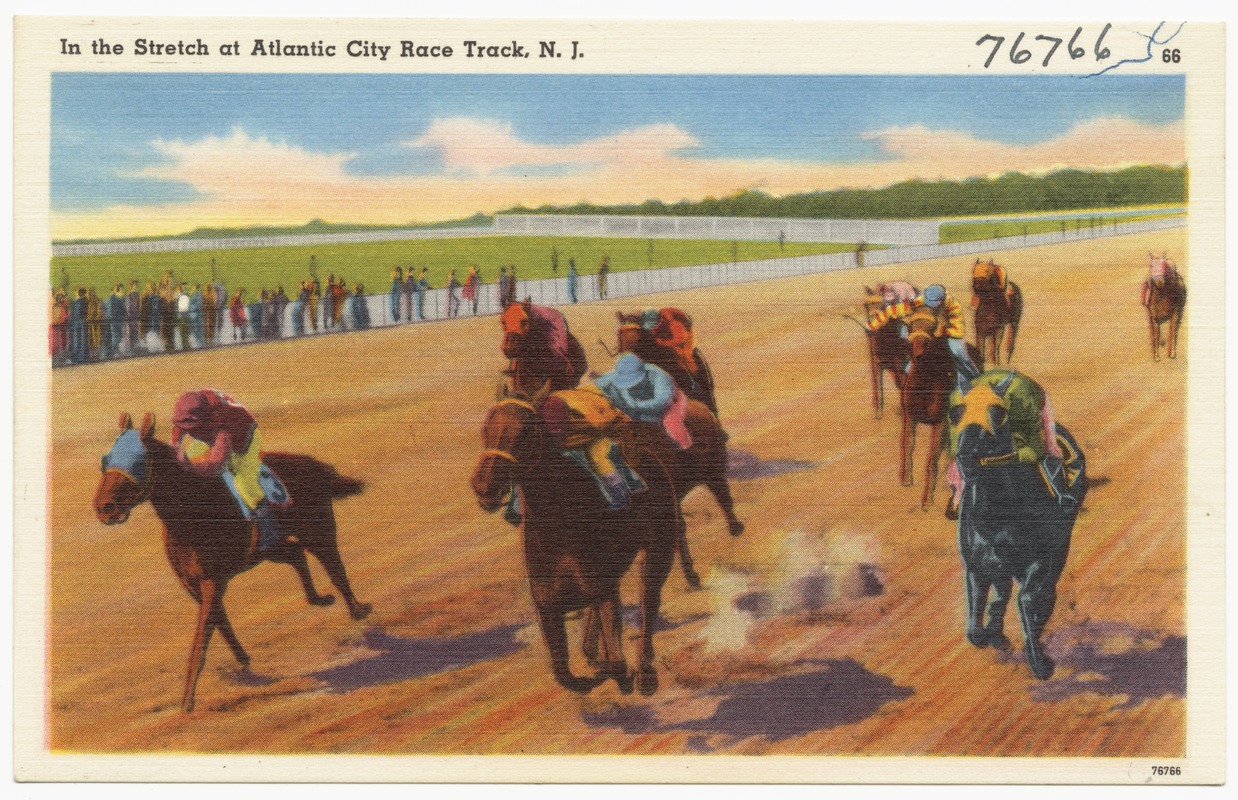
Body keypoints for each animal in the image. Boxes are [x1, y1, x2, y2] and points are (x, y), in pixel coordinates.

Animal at [94, 413, 368, 713]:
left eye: (137, 462)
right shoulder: (194, 585)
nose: (103, 508)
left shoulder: (212, 582)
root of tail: (313, 463)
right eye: (106, 460)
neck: (192, 515)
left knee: (335, 568)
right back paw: (320, 599)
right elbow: (219, 623)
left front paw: (187, 699)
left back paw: (357, 609)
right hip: (270, 547)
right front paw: (242, 662)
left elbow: (202, 637)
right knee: (296, 554)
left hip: (318, 532)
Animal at [861, 283, 921, 421]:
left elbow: (901, 382)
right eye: (866, 305)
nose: (870, 328)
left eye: (881, 304)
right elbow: (877, 384)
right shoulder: (877, 361)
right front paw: (878, 412)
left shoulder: (897, 360)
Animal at [901, 307, 975, 515]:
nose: (917, 354)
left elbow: (931, 460)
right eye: (911, 325)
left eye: (933, 326)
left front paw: (927, 501)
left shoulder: (940, 422)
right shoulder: (910, 417)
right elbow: (908, 445)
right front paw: (906, 478)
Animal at [945, 373, 1084, 678]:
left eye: (998, 413)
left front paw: (1039, 661)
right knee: (1003, 593)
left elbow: (1029, 599)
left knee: (1046, 593)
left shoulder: (1042, 559)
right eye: (956, 412)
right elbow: (976, 621)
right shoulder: (978, 566)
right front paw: (993, 635)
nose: (966, 457)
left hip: (1060, 550)